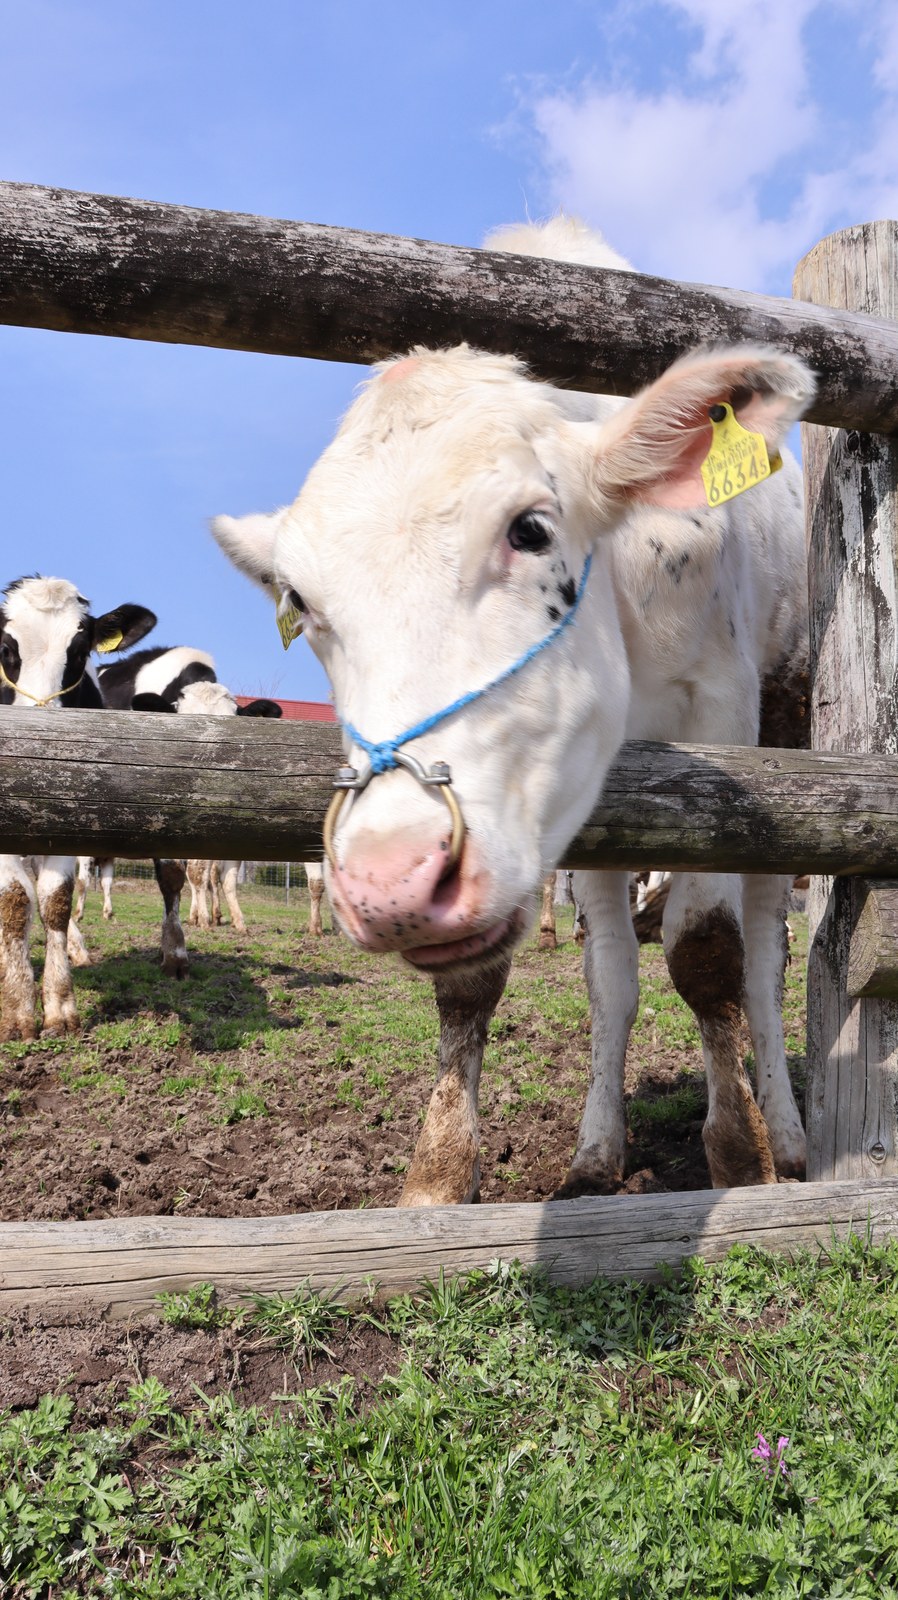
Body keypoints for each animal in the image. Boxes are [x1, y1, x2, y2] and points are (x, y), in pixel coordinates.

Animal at [0, 576, 156, 1040]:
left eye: (80, 652)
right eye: (6, 648)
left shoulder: (71, 822)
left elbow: (55, 902)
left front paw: (59, 1006)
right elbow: (15, 902)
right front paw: (17, 1009)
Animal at [210, 217, 813, 1204]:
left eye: (530, 529)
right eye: (300, 599)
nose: (390, 881)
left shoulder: (724, 720)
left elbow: (709, 955)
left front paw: (739, 1159)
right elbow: (541, 980)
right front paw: (444, 1175)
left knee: (766, 949)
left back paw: (790, 1136)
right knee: (616, 970)